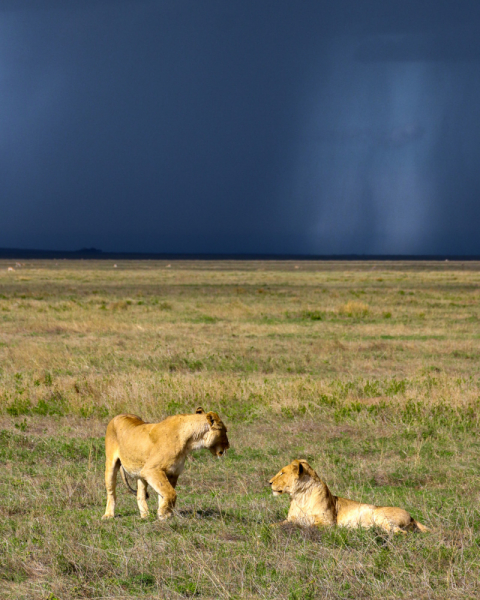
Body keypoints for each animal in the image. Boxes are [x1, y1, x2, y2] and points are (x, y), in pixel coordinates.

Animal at [268, 460, 430, 536]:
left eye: (282, 473)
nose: (269, 482)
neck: (299, 496)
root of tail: (412, 517)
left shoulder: (328, 522)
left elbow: (308, 526)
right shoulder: (290, 519)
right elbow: (274, 525)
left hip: (379, 515)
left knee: (401, 533)